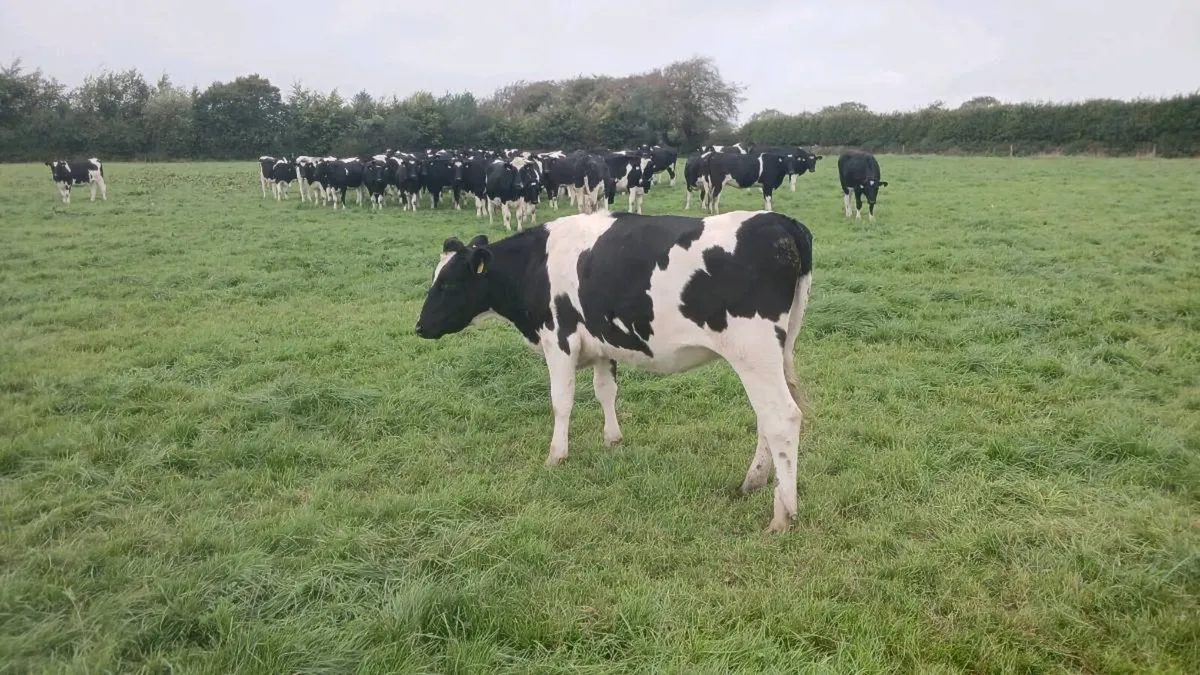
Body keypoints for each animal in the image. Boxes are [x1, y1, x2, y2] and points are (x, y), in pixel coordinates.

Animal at [413, 210, 814, 534]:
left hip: (753, 351)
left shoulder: (559, 339)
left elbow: (561, 401)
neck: (536, 263)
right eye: (435, 278)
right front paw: (612, 440)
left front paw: (556, 455)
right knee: (767, 417)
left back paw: (783, 513)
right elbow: (605, 391)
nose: (419, 327)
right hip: (778, 351)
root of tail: (781, 221)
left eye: (448, 283)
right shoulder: (602, 344)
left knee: (782, 417)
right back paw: (754, 481)